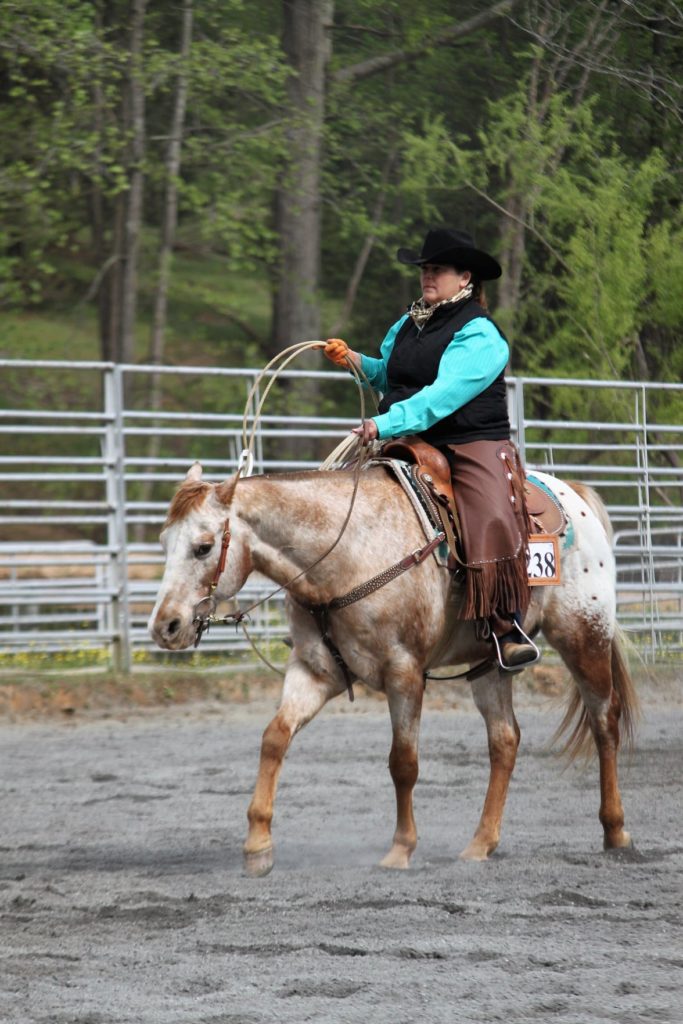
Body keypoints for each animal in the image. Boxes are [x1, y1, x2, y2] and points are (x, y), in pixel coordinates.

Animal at [148, 462, 634, 872]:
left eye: (203, 547)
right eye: (164, 543)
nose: (165, 626)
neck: (346, 553)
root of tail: (572, 494)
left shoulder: (404, 673)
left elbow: (403, 763)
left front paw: (401, 849)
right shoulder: (315, 671)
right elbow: (275, 738)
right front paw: (257, 845)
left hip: (583, 635)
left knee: (604, 721)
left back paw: (616, 832)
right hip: (490, 665)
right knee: (505, 740)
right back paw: (481, 843)